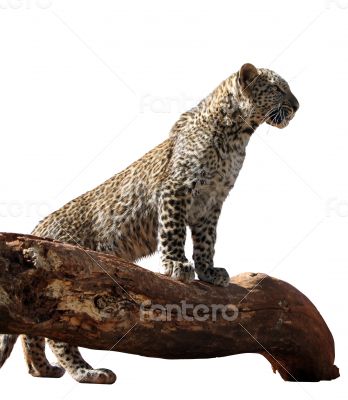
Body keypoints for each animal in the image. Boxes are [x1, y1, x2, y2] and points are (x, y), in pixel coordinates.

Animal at [0, 63, 300, 384]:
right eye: (278, 88)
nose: (297, 106)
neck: (237, 136)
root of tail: (37, 229)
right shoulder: (176, 190)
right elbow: (174, 233)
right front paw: (176, 266)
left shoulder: (211, 204)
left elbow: (206, 242)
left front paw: (209, 272)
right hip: (65, 284)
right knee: (58, 333)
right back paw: (86, 372)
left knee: (32, 331)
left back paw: (42, 370)